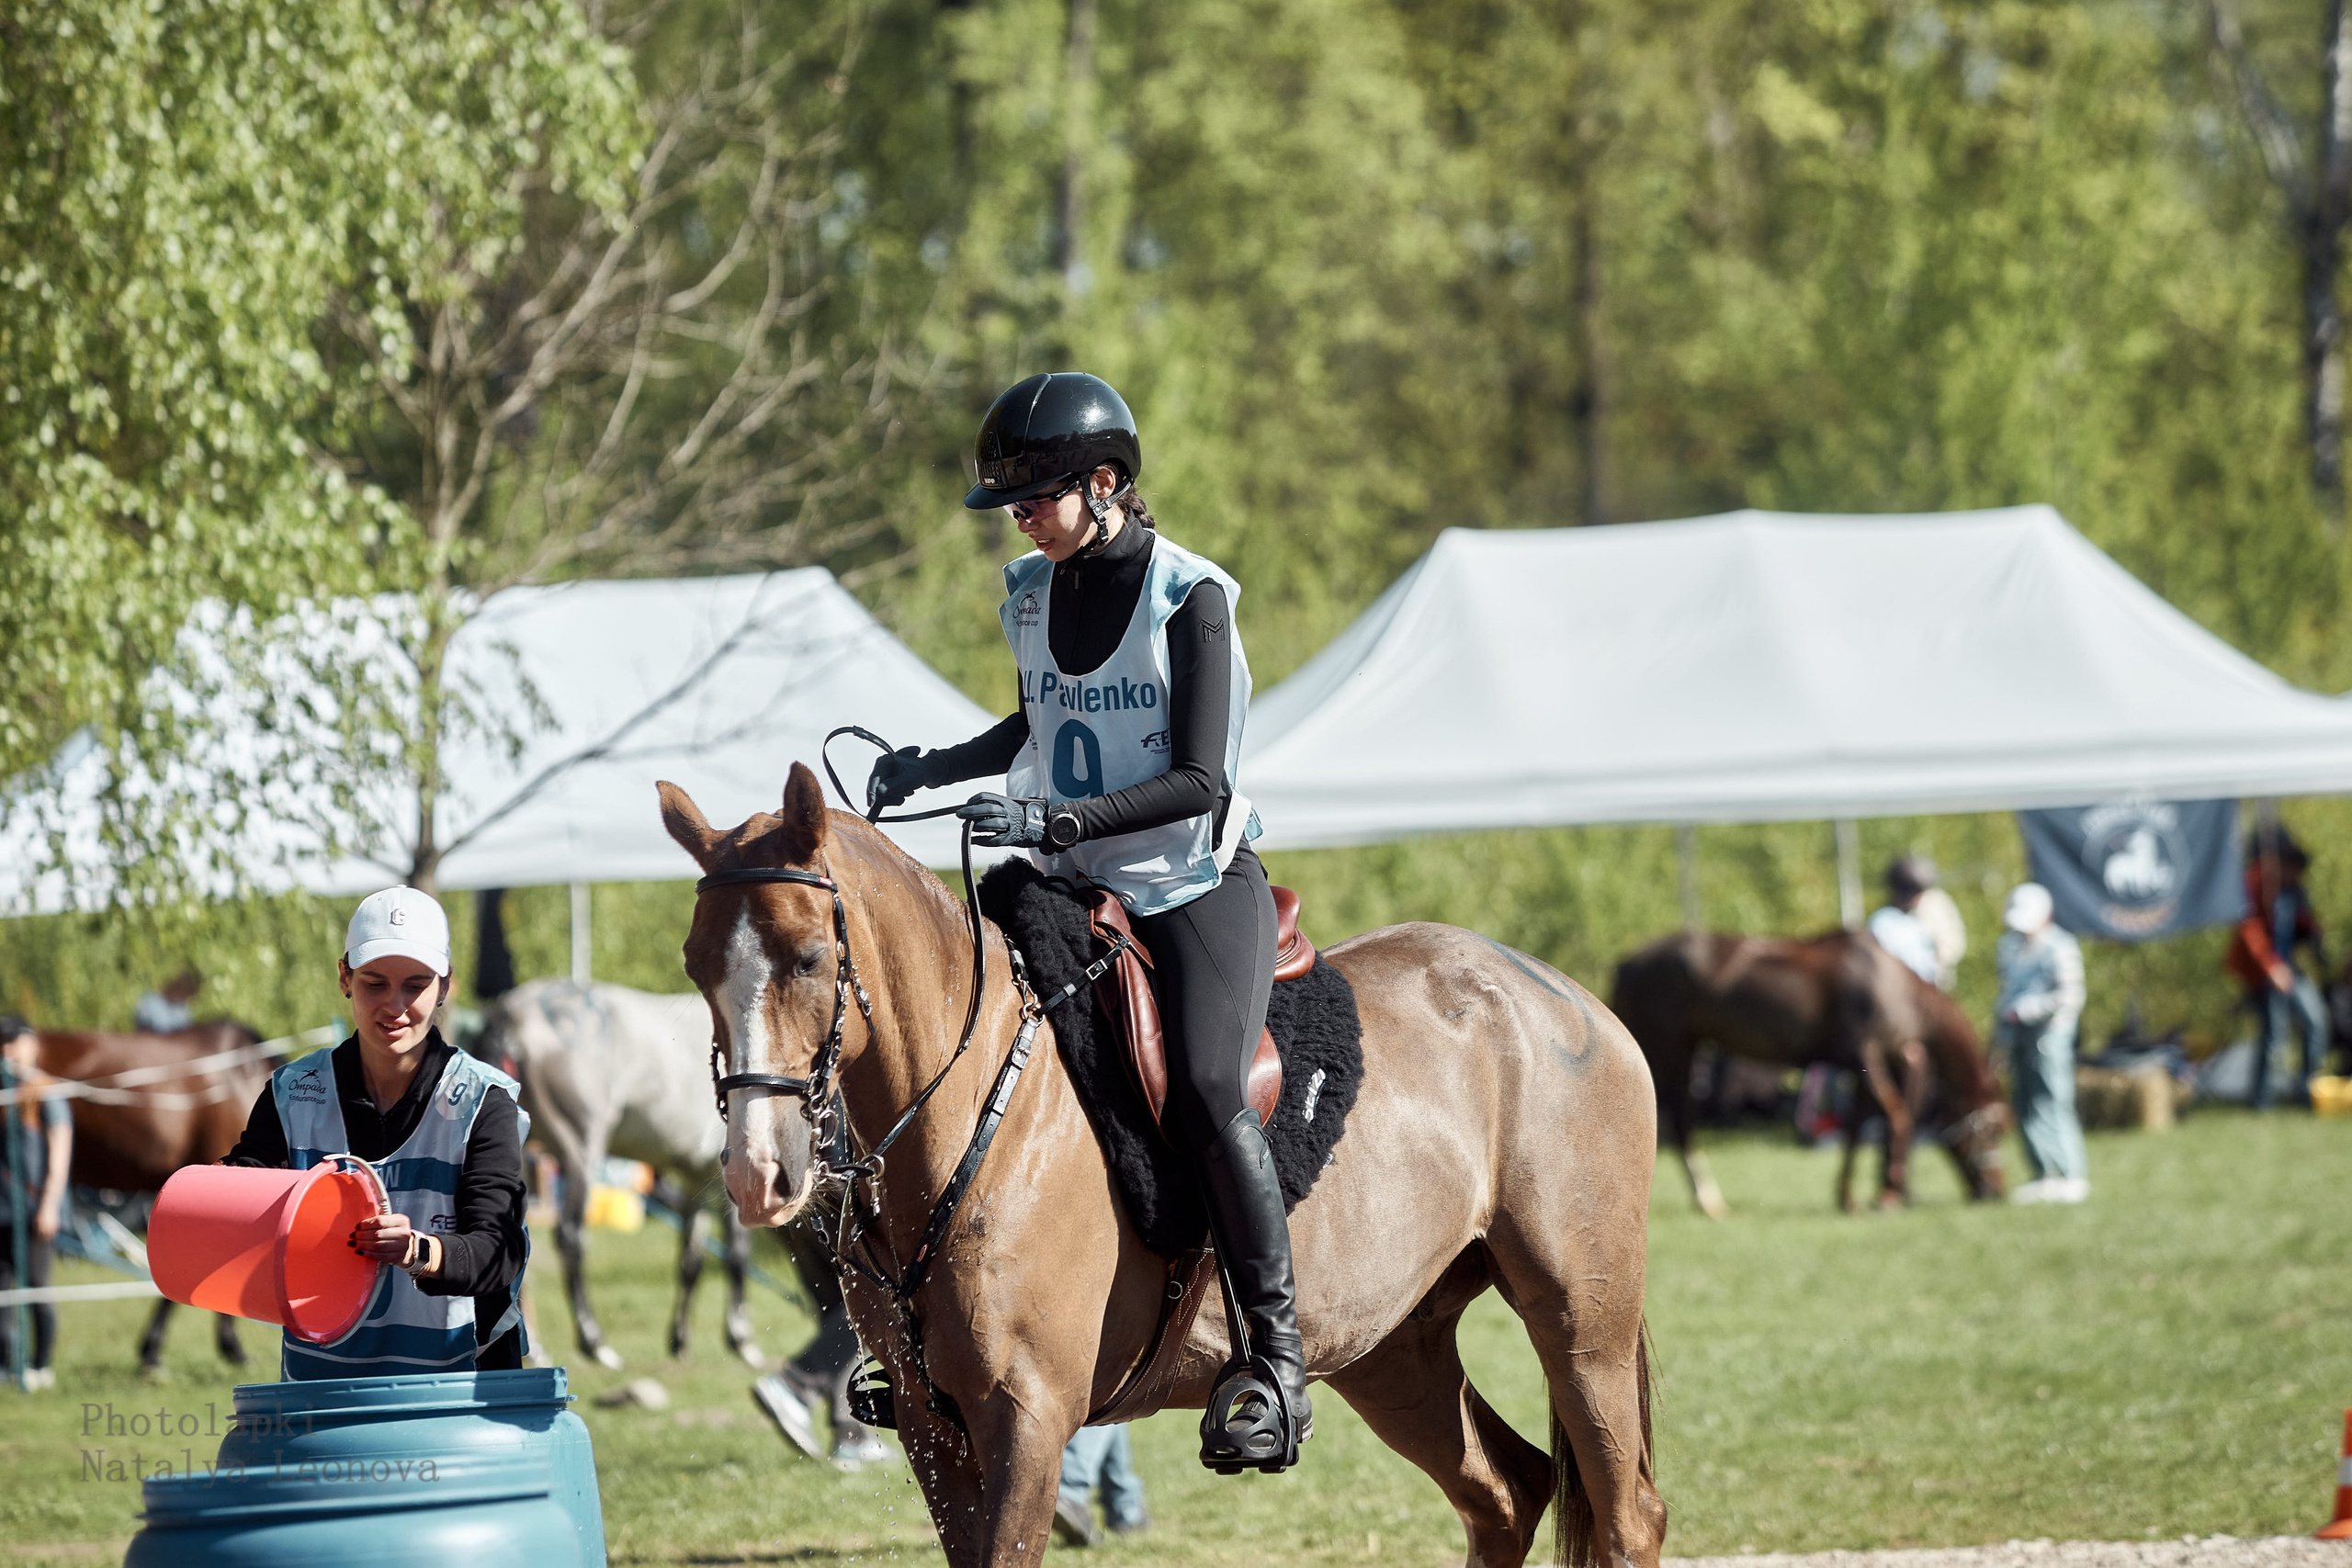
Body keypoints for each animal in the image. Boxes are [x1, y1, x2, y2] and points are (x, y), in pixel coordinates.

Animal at [477, 979, 761, 1370]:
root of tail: (510, 1017)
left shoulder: (693, 1178)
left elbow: (691, 1260)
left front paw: (679, 1340)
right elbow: (737, 1252)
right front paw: (740, 1339)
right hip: (578, 1152)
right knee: (571, 1239)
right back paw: (594, 1342)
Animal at [656, 763, 1665, 1568]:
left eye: (808, 958)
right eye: (696, 964)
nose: (756, 1174)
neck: (973, 1110)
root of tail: (1566, 999)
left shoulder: (1026, 1420)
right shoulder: (933, 1428)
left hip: (1580, 1322)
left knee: (1628, 1515)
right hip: (1392, 1350)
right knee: (1506, 1494)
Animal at [1609, 930, 2011, 1218]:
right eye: (1994, 1129)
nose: (1995, 1192)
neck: (1894, 987)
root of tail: (1626, 962)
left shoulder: (1866, 1065)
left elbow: (1856, 1129)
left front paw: (1848, 1198)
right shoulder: (1867, 1055)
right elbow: (1896, 1117)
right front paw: (1887, 1195)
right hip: (1667, 1050)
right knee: (1676, 1122)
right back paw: (1707, 1201)